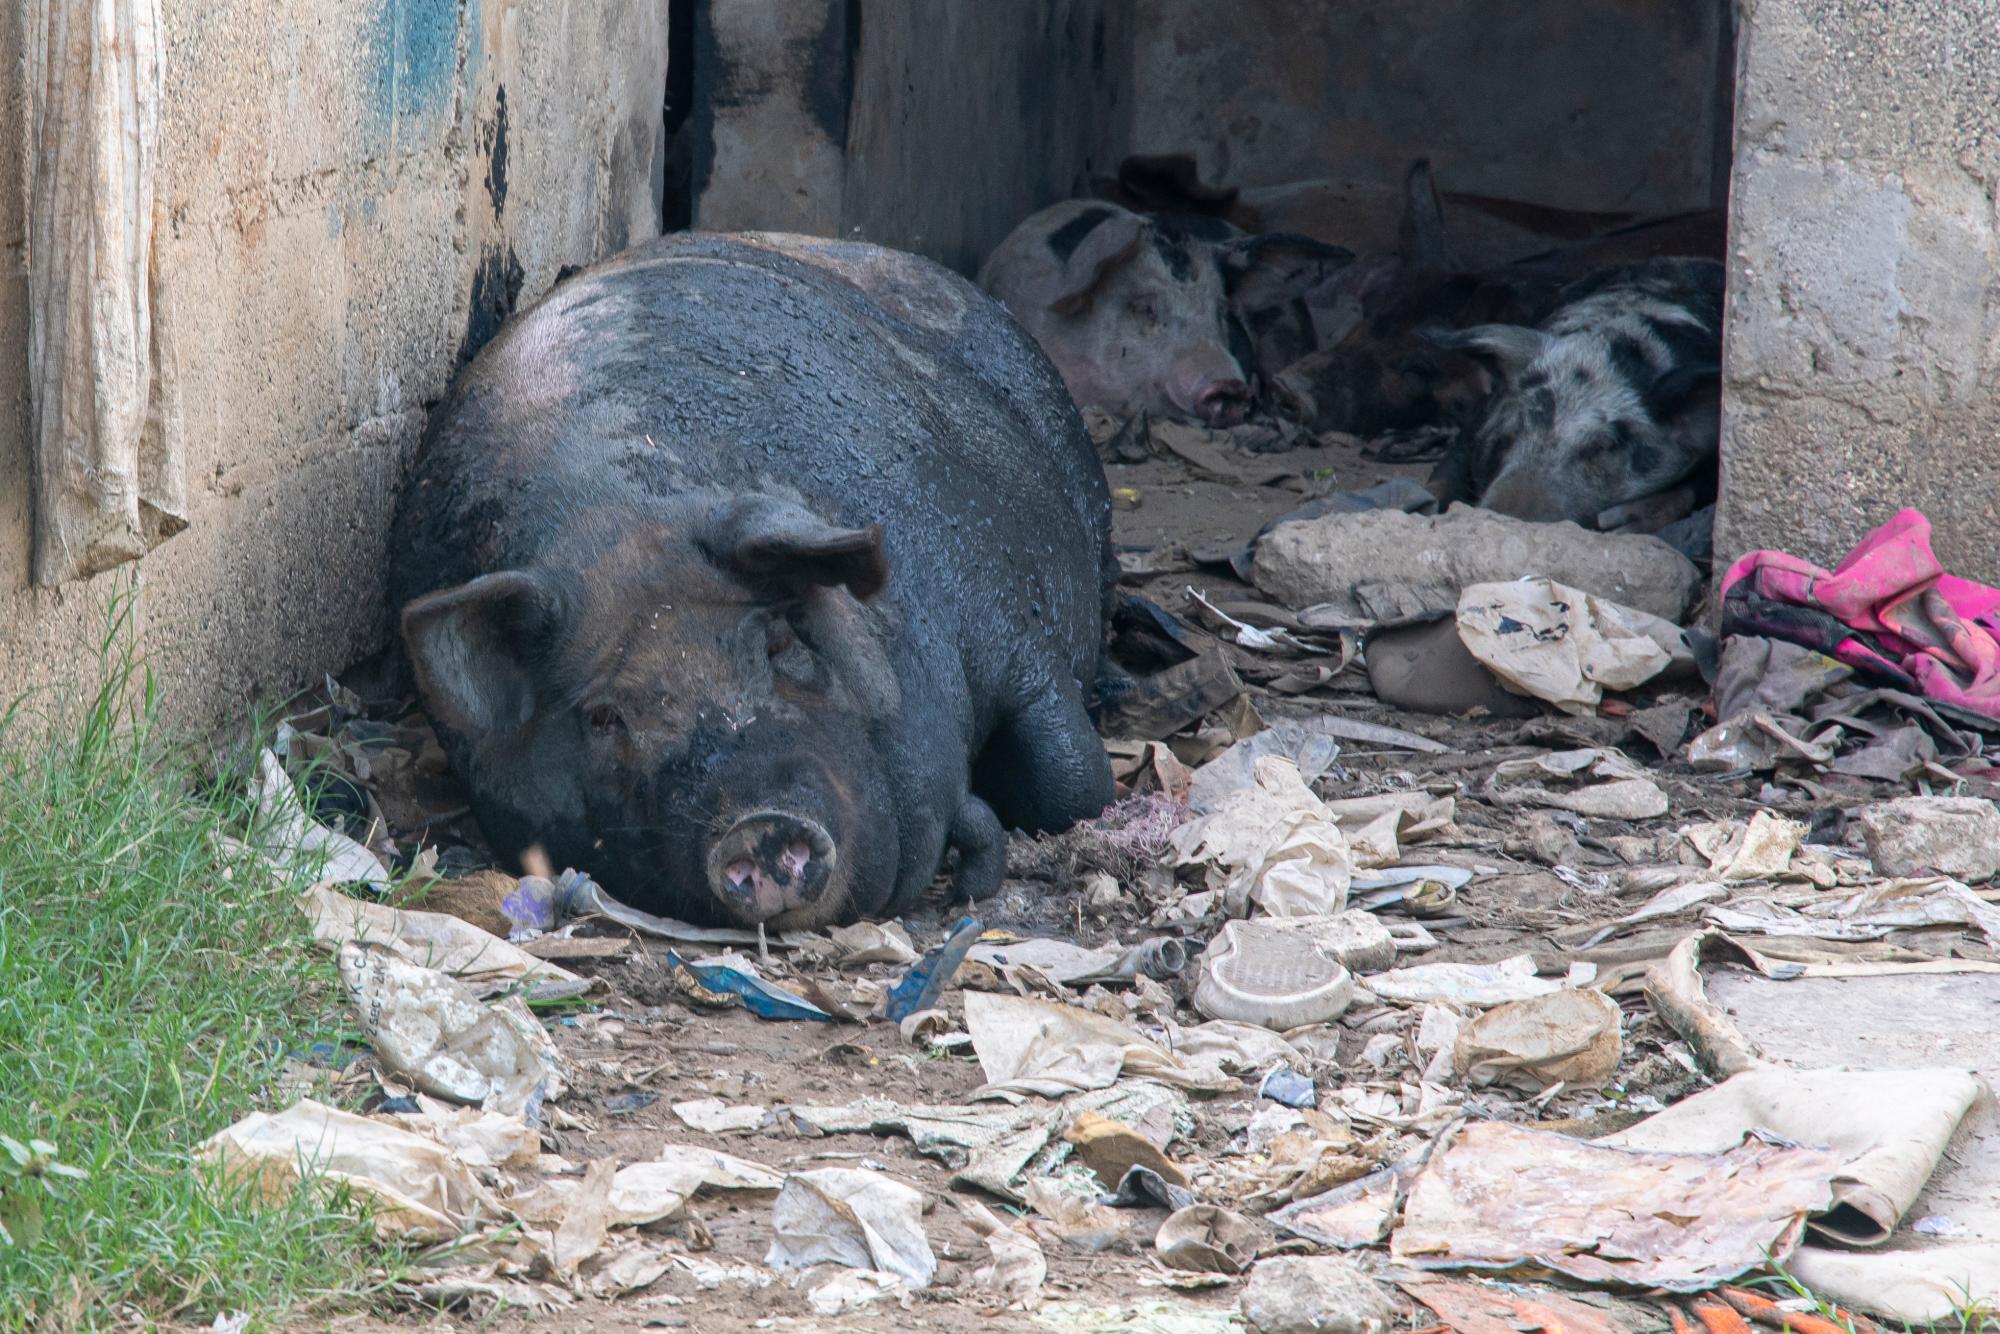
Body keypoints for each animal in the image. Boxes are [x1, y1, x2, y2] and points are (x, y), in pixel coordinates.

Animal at [389, 231, 1117, 930]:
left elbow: (1072, 782)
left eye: (777, 642)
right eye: (603, 717)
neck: (617, 524)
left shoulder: (1002, 612)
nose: (757, 826)